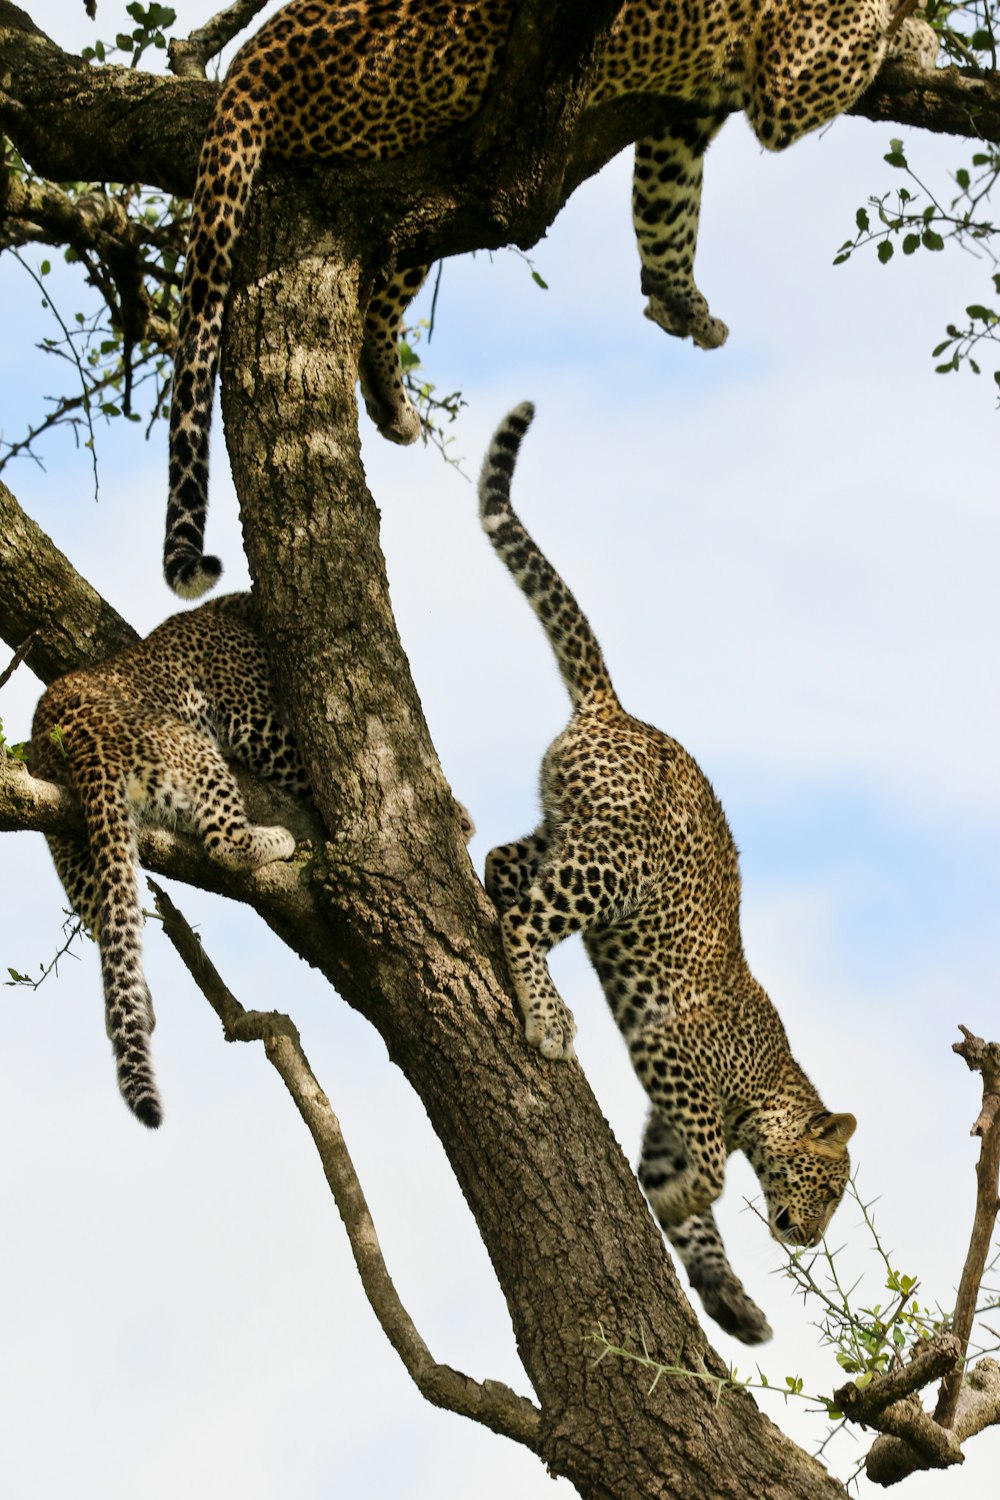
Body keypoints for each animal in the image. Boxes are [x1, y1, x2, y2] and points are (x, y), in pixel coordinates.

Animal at [30, 591, 308, 1128]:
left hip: (73, 842)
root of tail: (71, 733)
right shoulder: (254, 720)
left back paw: (138, 1007)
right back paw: (277, 838)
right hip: (192, 745)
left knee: (107, 919)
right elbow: (301, 766)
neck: (234, 609)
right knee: (224, 841)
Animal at [164, 0, 941, 597]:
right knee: (378, 295)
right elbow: (854, 33)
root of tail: (256, 56)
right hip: (423, 158)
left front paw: (681, 302)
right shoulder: (785, 69)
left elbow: (666, 209)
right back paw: (392, 401)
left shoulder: (682, 117)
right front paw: (915, 31)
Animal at [479, 405, 857, 1344]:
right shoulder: (673, 1059)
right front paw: (695, 1200)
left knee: (503, 864)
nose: (809, 1238)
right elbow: (714, 1176)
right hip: (615, 866)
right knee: (528, 919)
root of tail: (618, 710)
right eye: (830, 1188)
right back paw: (547, 1017)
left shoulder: (663, 1118)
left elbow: (689, 1208)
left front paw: (732, 1302)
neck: (772, 1084)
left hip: (570, 832)